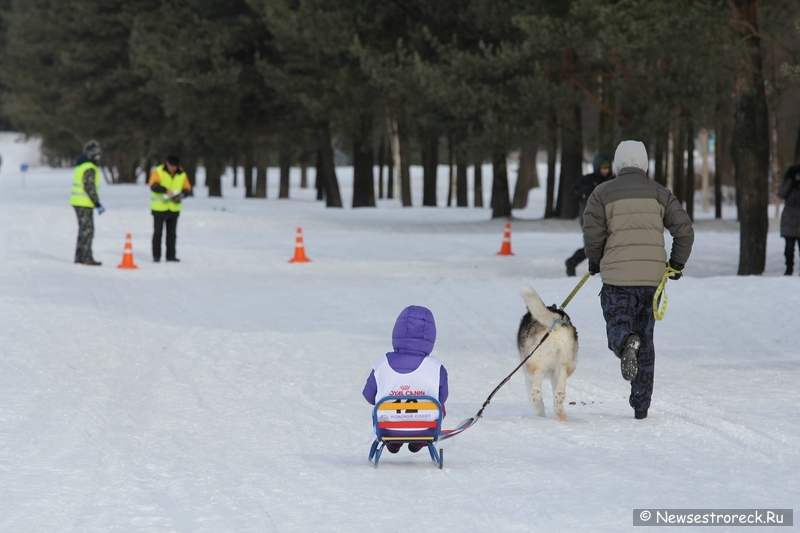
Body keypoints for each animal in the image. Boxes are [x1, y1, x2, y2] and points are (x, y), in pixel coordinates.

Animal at [516, 284, 580, 418]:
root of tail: (555, 321)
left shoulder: (527, 377)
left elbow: (539, 404)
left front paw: (540, 414)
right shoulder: (554, 376)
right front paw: (559, 410)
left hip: (533, 362)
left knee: (538, 372)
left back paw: (536, 393)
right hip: (568, 360)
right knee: (563, 372)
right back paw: (560, 395)